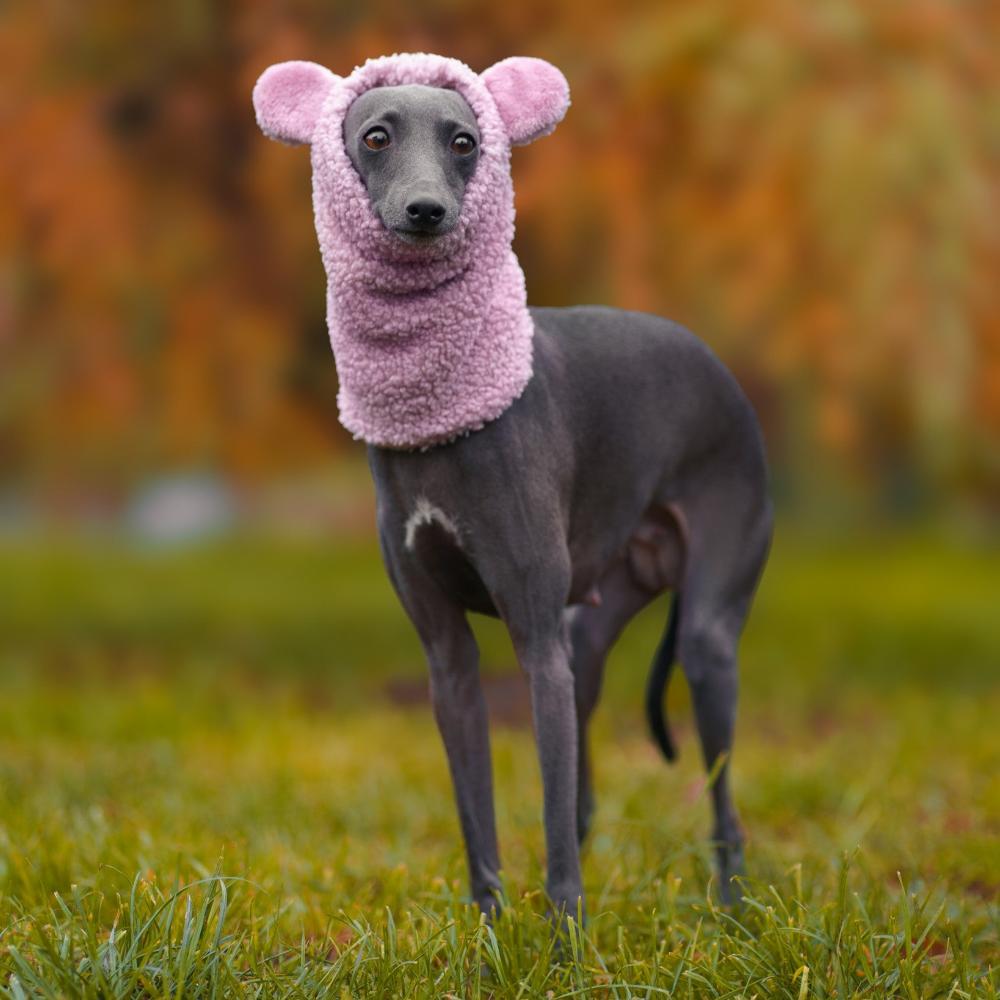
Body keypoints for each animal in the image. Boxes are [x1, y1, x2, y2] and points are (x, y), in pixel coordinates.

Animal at [338, 82, 772, 916]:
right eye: (375, 136)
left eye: (466, 141)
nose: (427, 212)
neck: (443, 417)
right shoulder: (448, 661)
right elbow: (478, 818)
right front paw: (488, 929)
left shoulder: (538, 647)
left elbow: (550, 823)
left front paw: (565, 935)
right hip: (591, 634)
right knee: (586, 790)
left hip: (704, 632)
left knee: (722, 804)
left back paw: (734, 914)